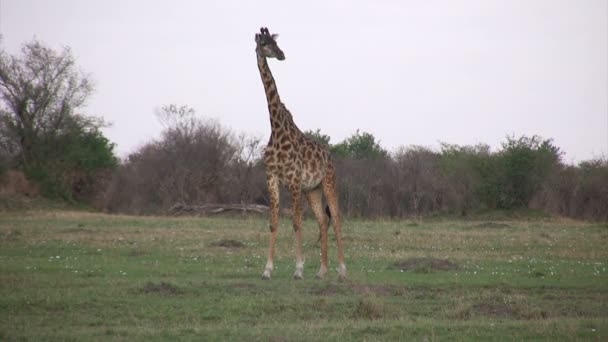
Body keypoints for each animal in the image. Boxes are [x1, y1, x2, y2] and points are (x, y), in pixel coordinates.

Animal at [253, 27, 346, 280]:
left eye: (275, 42)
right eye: (264, 43)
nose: (282, 54)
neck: (276, 129)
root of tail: (330, 156)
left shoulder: (294, 180)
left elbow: (296, 223)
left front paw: (298, 268)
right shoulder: (272, 178)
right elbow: (274, 222)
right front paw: (267, 270)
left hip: (328, 182)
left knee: (336, 219)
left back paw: (342, 270)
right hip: (312, 190)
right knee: (323, 220)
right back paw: (322, 271)